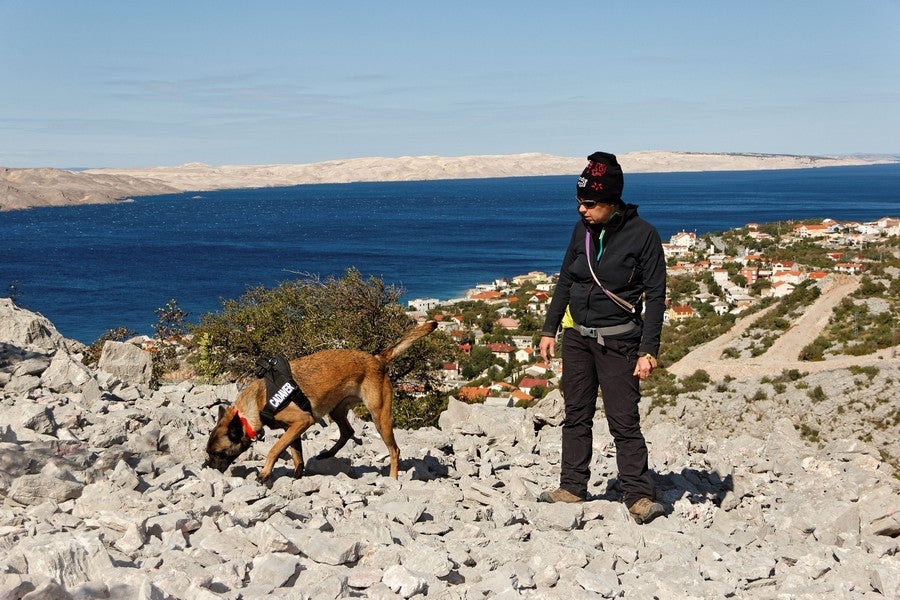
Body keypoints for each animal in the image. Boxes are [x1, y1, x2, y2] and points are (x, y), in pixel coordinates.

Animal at [208, 322, 440, 480]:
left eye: (217, 453)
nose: (208, 468)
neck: (258, 401)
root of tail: (377, 359)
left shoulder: (302, 422)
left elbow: (275, 449)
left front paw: (265, 473)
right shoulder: (292, 429)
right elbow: (296, 455)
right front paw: (297, 476)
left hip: (379, 416)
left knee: (394, 450)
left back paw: (392, 478)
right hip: (336, 410)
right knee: (348, 431)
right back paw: (328, 453)